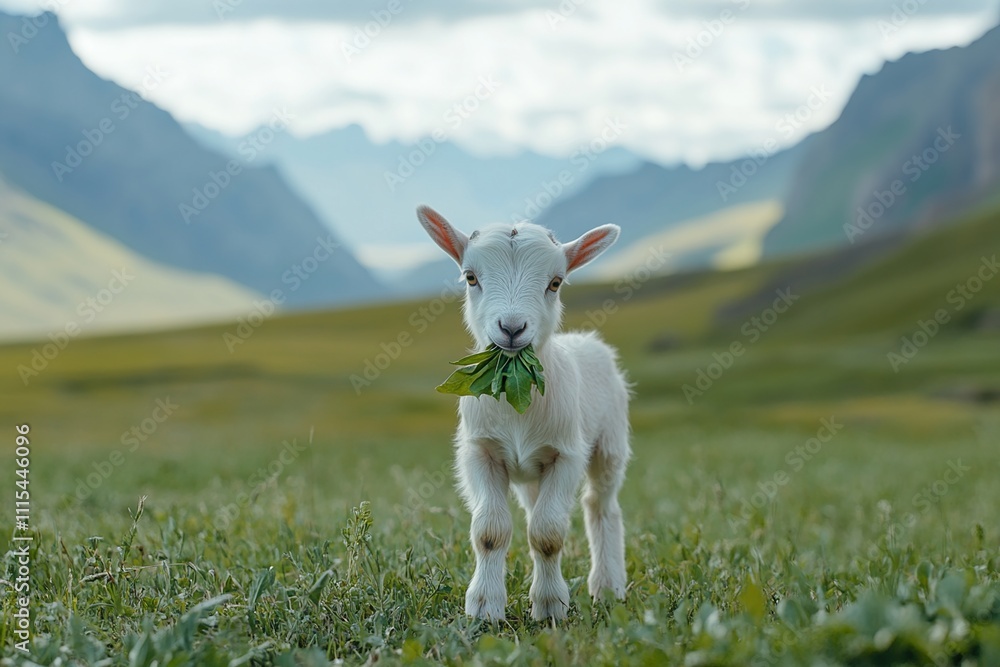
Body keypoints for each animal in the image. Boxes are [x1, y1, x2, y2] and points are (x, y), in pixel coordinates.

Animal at [417, 205, 631, 621]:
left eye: (555, 283)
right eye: (470, 277)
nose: (512, 328)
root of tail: (587, 341)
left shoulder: (566, 454)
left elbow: (548, 534)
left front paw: (549, 607)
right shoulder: (480, 451)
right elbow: (490, 531)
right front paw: (485, 607)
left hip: (610, 443)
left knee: (601, 506)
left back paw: (608, 586)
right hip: (532, 473)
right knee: (538, 511)